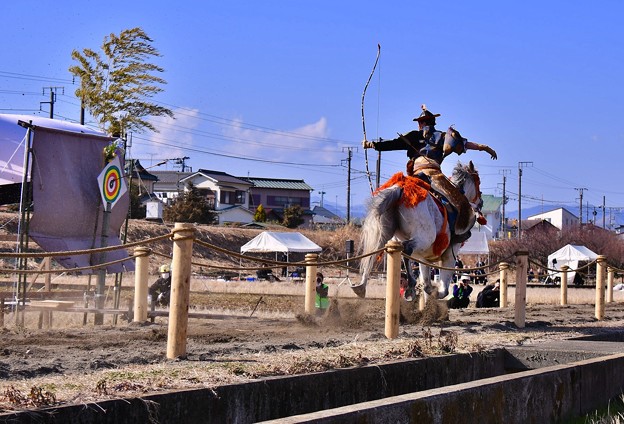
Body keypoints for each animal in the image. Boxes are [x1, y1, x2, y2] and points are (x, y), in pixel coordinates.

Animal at [356, 161, 482, 298]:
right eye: (478, 181)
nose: (481, 202)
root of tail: (400, 188)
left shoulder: (423, 257)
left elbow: (426, 284)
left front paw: (428, 290)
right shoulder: (450, 254)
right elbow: (443, 291)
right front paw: (435, 291)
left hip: (387, 231)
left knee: (375, 251)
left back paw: (361, 286)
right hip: (425, 237)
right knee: (407, 248)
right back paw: (411, 284)